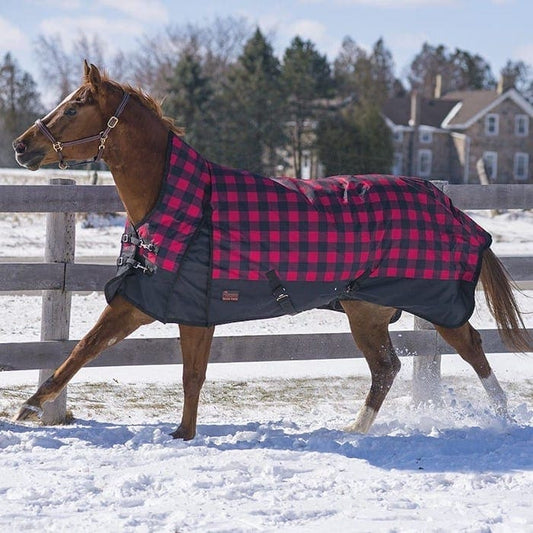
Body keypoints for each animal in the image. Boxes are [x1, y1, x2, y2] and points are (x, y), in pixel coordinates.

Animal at [10, 62, 528, 438]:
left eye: (74, 108)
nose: (21, 145)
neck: (183, 206)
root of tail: (447, 203)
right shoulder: (147, 303)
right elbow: (89, 354)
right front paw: (28, 410)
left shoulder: (183, 310)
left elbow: (175, 372)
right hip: (366, 311)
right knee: (387, 368)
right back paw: (355, 430)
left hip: (436, 305)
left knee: (473, 349)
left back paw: (504, 418)